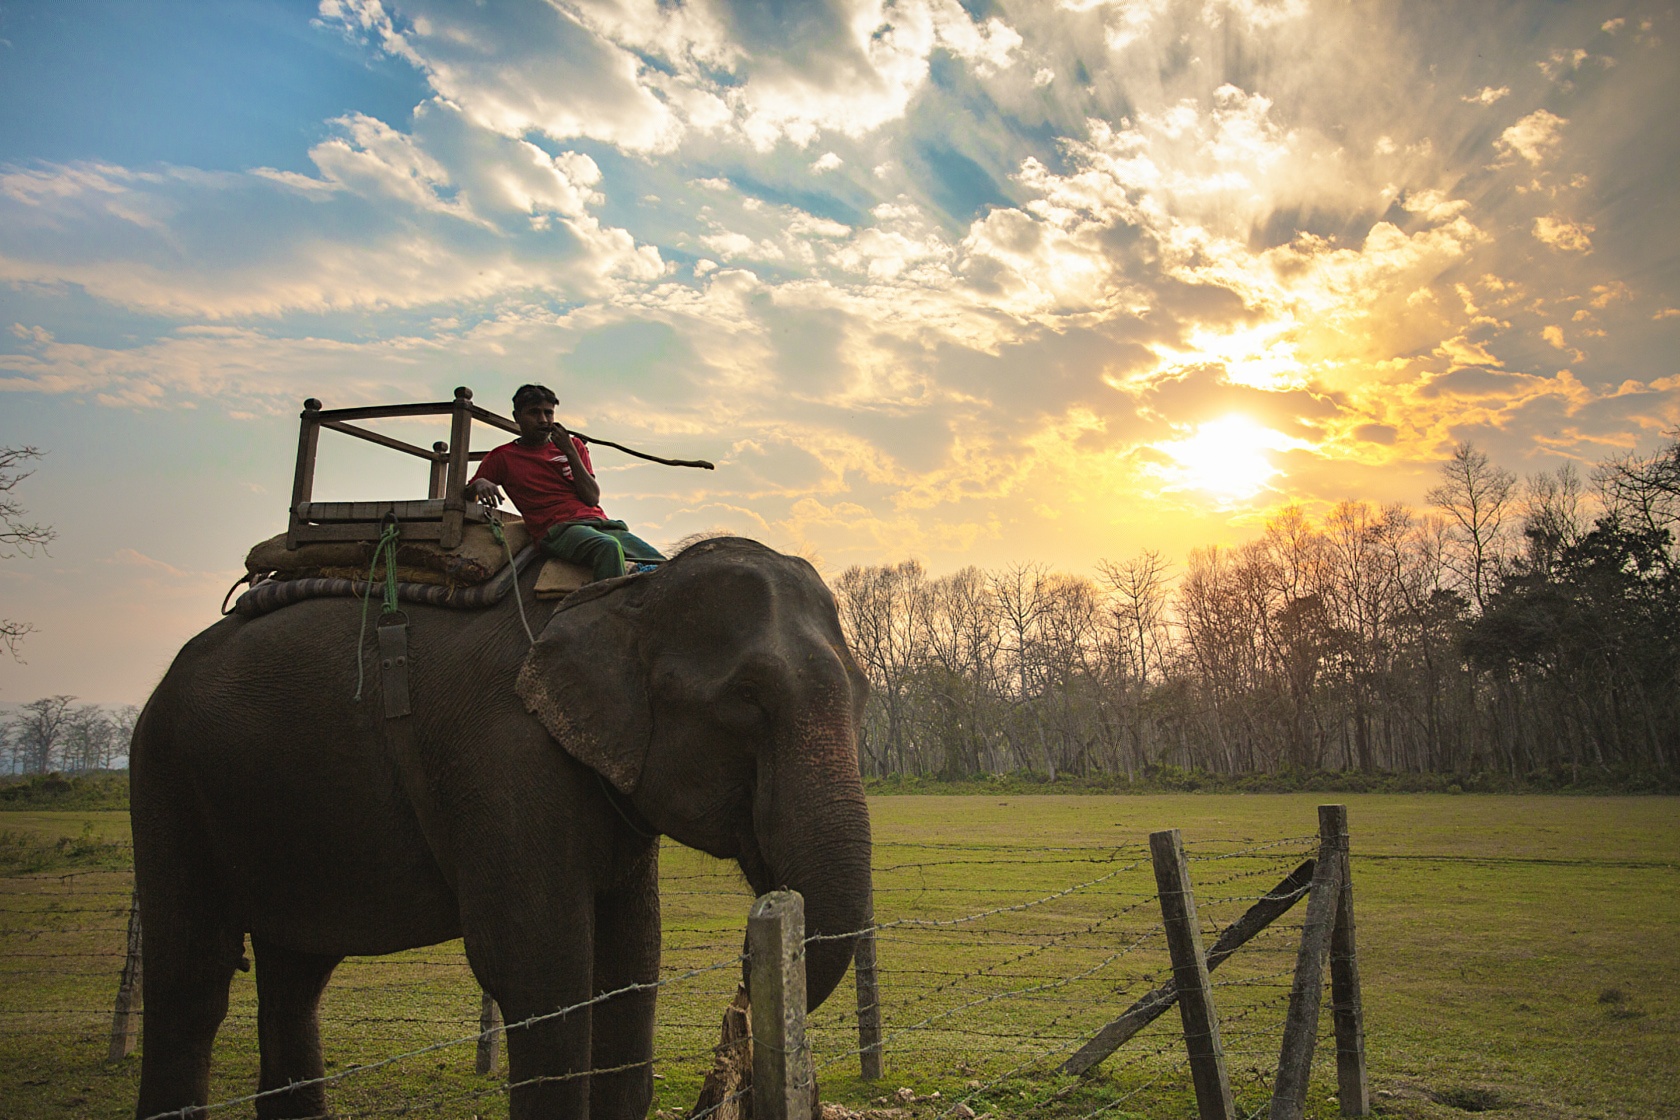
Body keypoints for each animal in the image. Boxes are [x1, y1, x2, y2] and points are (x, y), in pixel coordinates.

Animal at [127, 537, 880, 1114]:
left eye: (864, 694)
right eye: (747, 701)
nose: (746, 982)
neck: (627, 592)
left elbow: (632, 960)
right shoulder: (503, 754)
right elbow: (539, 967)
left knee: (294, 979)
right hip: (167, 780)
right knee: (193, 981)